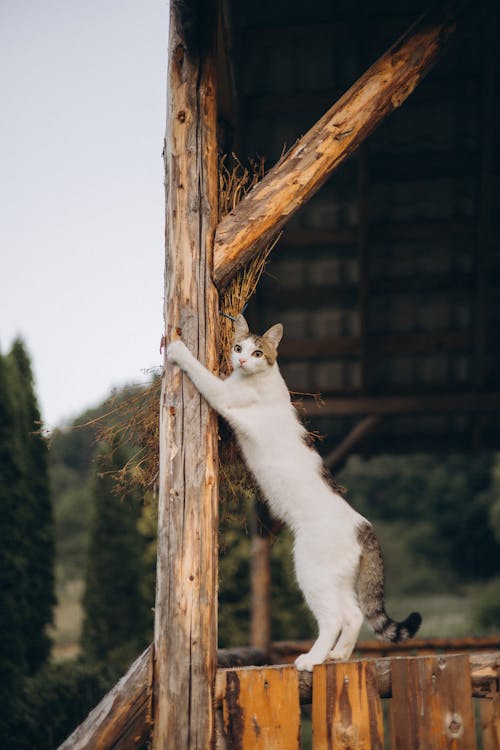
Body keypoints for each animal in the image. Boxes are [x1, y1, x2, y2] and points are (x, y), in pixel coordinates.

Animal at [168, 314, 422, 672]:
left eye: (258, 353)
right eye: (238, 347)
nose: (241, 360)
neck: (264, 377)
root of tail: (363, 525)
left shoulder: (222, 394)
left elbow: (201, 371)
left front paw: (178, 349)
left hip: (311, 570)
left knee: (333, 618)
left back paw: (311, 659)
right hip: (337, 578)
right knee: (354, 615)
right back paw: (337, 655)